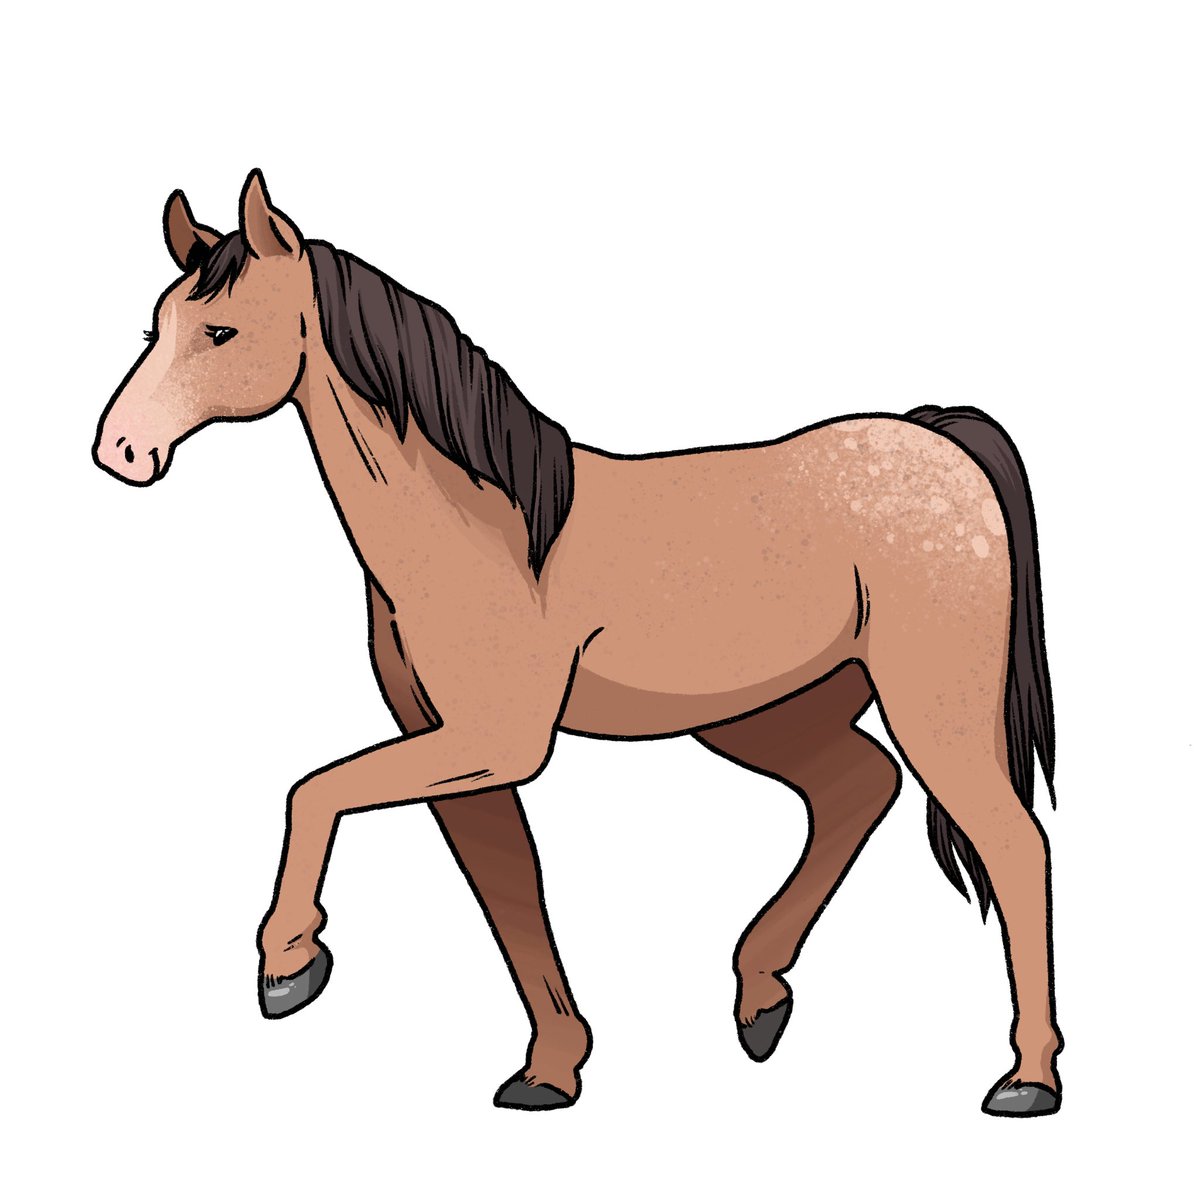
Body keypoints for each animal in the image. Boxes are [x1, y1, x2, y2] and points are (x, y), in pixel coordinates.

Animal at [93, 169, 1061, 1116]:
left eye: (220, 330)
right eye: (155, 326)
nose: (120, 453)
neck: (488, 529)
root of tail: (937, 436)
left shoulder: (496, 741)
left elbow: (314, 792)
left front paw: (289, 965)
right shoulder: (455, 750)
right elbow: (509, 894)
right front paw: (550, 1070)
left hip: (933, 713)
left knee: (1013, 846)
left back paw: (1026, 1080)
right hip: (762, 714)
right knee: (857, 788)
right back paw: (760, 1000)